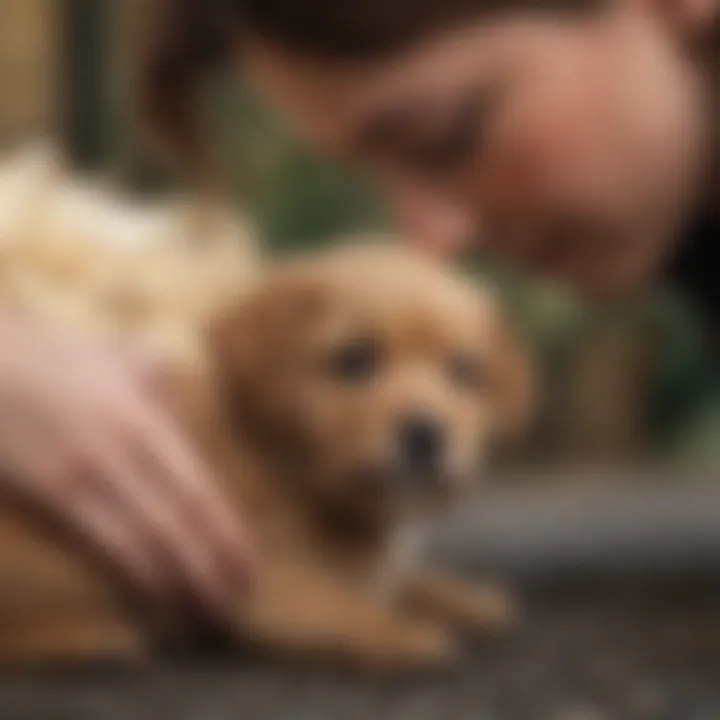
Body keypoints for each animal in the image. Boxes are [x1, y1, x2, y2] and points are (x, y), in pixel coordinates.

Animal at [0, 246, 532, 668]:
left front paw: (464, 596)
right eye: (354, 360)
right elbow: (340, 603)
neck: (295, 468)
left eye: (464, 373)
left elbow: (401, 579)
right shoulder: (264, 585)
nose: (427, 433)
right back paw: (92, 635)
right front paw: (401, 631)